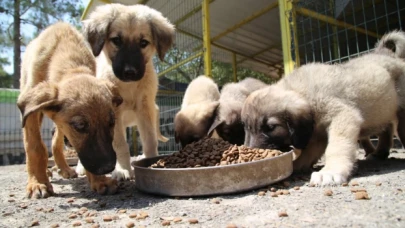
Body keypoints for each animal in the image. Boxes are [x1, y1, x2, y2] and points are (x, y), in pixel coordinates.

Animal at [17, 22, 121, 199]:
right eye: (80, 126)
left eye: (111, 122)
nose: (107, 167)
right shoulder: (31, 109)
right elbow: (35, 147)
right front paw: (38, 182)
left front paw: (100, 181)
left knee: (56, 142)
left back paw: (64, 169)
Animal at [83, 2, 174, 179]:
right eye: (117, 40)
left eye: (143, 43)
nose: (129, 72)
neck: (129, 86)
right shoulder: (115, 114)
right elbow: (120, 145)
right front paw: (123, 170)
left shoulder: (144, 109)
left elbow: (150, 141)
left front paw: (151, 162)